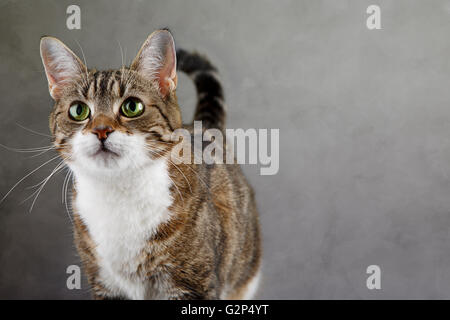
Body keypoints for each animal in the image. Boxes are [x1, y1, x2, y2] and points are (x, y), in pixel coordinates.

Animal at [41, 30, 264, 300]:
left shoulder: (192, 285)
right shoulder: (105, 283)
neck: (119, 193)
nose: (101, 130)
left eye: (132, 107)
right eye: (78, 110)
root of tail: (203, 127)